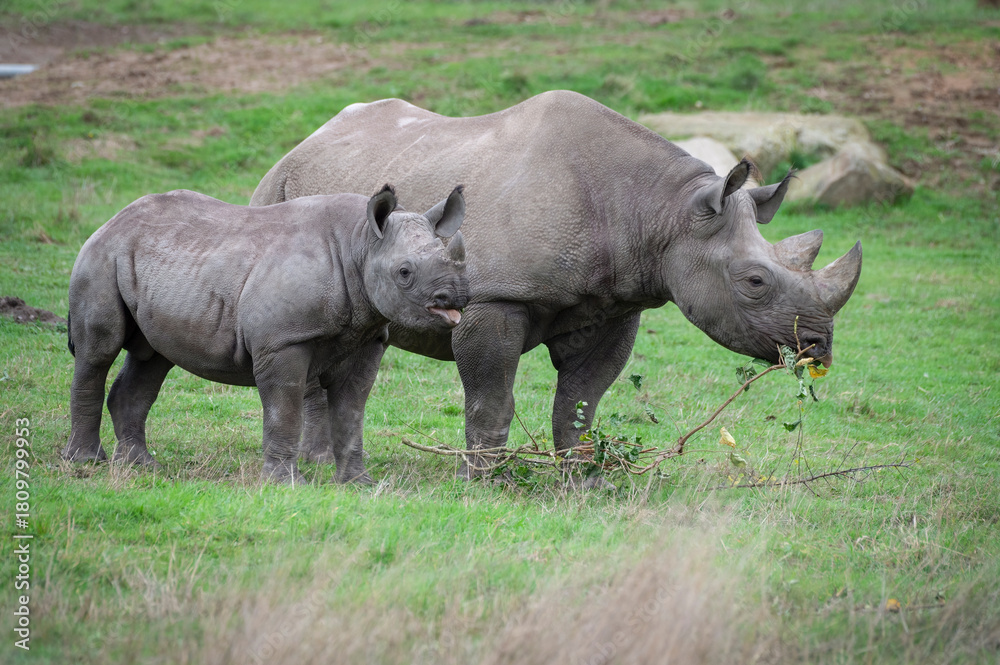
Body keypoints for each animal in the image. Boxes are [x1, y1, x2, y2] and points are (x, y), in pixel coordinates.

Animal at [63, 184, 468, 484]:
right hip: (100, 258)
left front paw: (360, 484)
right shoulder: (283, 341)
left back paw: (141, 466)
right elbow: (284, 408)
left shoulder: (367, 336)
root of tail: (111, 221)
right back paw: (86, 462)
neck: (361, 243)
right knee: (98, 352)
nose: (456, 296)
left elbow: (352, 410)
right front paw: (286, 484)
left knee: (153, 358)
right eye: (404, 273)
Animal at [251, 90, 862, 479]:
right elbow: (492, 399)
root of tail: (311, 137)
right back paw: (313, 466)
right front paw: (487, 481)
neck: (660, 211)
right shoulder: (495, 296)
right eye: (755, 281)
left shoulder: (615, 304)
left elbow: (581, 400)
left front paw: (583, 478)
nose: (817, 347)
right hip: (276, 185)